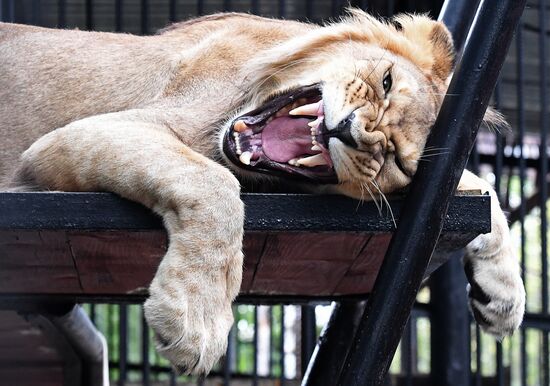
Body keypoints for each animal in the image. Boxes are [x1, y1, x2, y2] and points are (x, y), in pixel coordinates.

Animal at [0, 10, 528, 376]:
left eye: (398, 161)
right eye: (385, 80)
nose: (356, 134)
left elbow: (481, 185)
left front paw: (503, 296)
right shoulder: (73, 138)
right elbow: (215, 185)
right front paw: (196, 321)